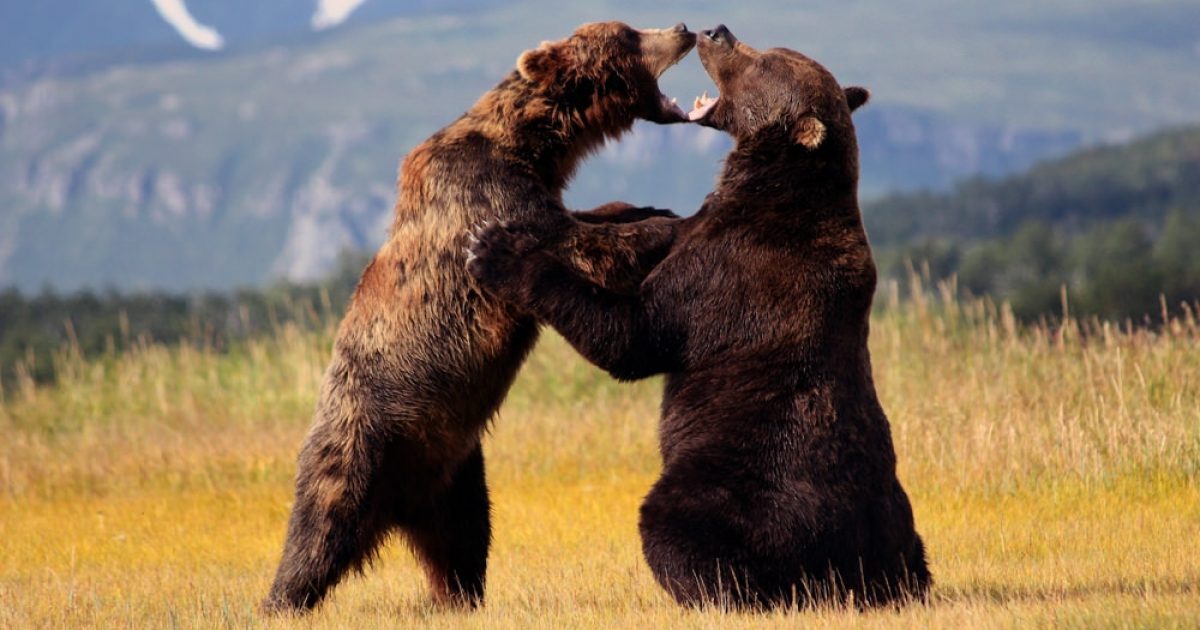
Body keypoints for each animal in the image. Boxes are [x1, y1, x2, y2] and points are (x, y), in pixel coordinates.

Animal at [261, 21, 696, 614]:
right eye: (629, 35)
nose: (683, 28)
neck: (532, 144)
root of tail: (401, 504)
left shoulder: (536, 185)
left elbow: (585, 217)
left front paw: (642, 207)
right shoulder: (489, 193)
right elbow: (575, 244)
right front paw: (667, 222)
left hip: (457, 472)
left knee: (464, 539)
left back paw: (457, 597)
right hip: (357, 442)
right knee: (319, 527)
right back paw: (280, 599)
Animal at [466, 24, 930, 609]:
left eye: (764, 61)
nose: (717, 31)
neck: (772, 187)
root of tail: (858, 571)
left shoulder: (730, 275)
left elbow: (636, 335)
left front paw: (499, 247)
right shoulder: (705, 230)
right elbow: (651, 241)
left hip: (741, 487)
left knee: (679, 525)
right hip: (899, 526)